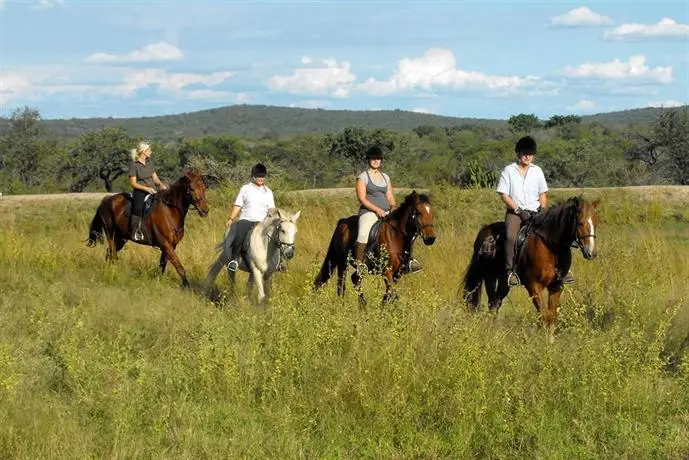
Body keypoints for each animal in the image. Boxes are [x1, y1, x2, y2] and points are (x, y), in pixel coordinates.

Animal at [462, 194, 596, 342]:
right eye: (580, 223)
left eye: (595, 222)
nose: (591, 253)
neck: (550, 247)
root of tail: (484, 231)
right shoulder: (533, 285)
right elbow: (543, 314)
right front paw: (544, 341)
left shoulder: (556, 285)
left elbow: (552, 315)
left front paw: (550, 342)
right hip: (490, 277)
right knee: (492, 303)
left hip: (504, 281)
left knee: (496, 302)